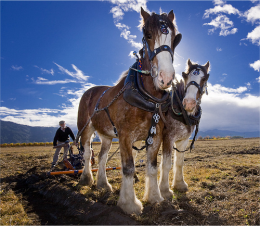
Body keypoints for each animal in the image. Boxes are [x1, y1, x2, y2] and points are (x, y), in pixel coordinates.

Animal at [78, 7, 182, 215]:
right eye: (148, 35)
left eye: (175, 39)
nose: (166, 78)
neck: (146, 97)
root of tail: (91, 91)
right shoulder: (125, 136)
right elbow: (128, 168)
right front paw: (129, 204)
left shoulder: (155, 136)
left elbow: (152, 167)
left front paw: (155, 197)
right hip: (85, 128)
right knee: (86, 154)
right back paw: (86, 179)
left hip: (107, 135)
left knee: (101, 157)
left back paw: (103, 184)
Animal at [157, 59, 210, 199]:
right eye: (185, 76)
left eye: (204, 78)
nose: (189, 103)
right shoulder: (168, 138)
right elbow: (166, 164)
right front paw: (164, 190)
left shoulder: (183, 140)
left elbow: (179, 163)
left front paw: (179, 184)